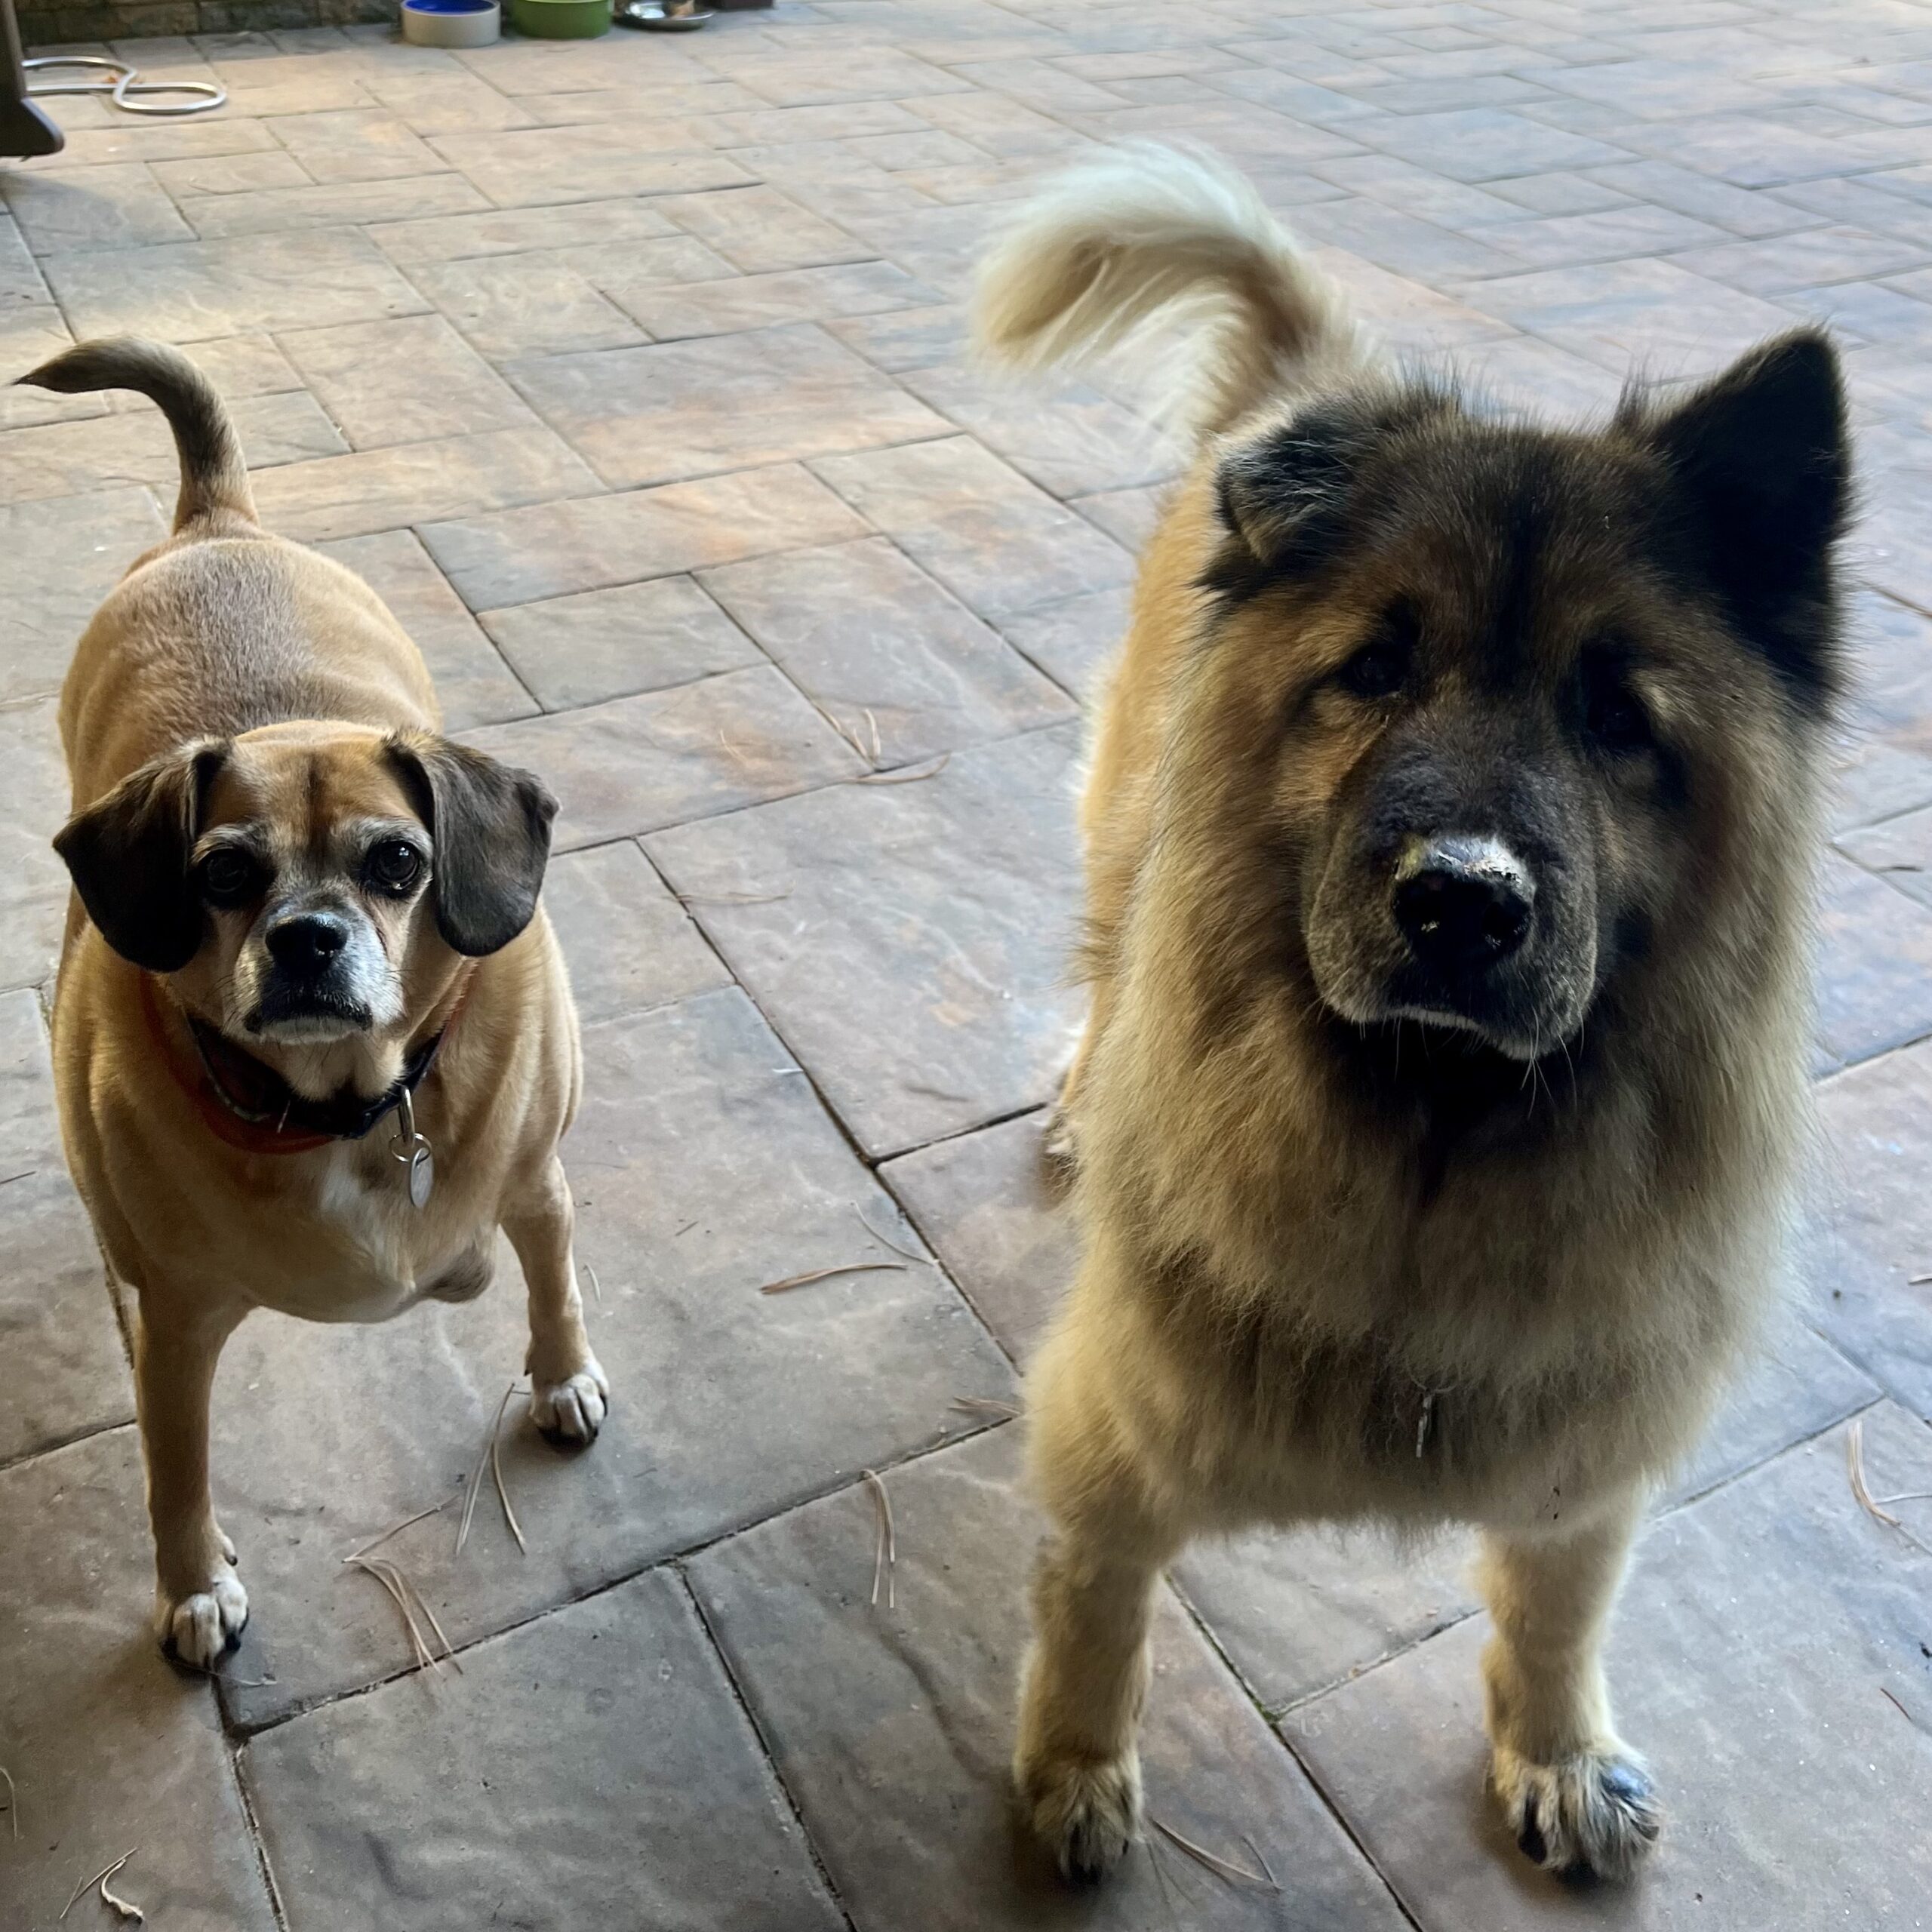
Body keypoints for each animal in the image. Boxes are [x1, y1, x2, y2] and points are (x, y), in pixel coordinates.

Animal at [25, 339, 609, 1668]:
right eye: (222, 875)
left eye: (397, 863)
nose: (305, 939)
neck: (349, 1110)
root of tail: (216, 523)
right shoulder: (175, 1329)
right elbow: (173, 1471)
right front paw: (191, 1585)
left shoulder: (538, 1183)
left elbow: (550, 1282)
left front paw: (560, 1375)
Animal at [973, 147, 1846, 1883]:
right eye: (1373, 669)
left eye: (1614, 715)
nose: (1462, 902)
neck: (1426, 1142)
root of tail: (1319, 371)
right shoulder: (1114, 1439)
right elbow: (1097, 1615)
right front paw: (1075, 1775)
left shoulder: (1586, 1464)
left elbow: (1554, 1616)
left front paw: (1555, 1755)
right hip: (1121, 830)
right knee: (1103, 962)